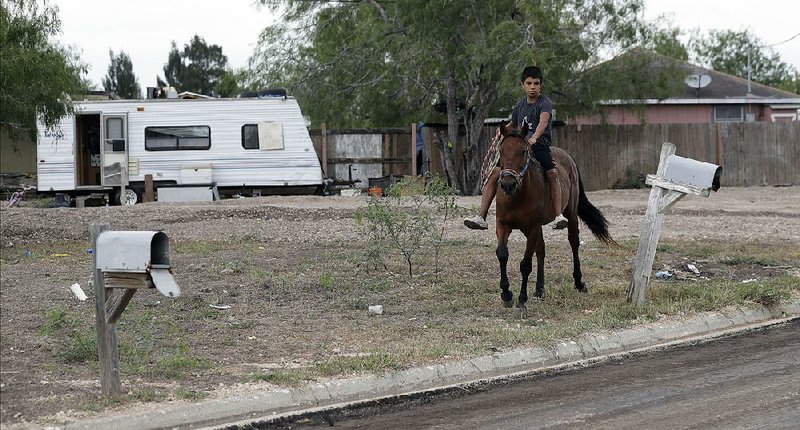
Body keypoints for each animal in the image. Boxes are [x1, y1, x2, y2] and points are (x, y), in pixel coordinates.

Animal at [494, 122, 612, 310]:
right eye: (501, 150)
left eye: (523, 151)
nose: (508, 184)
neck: (517, 196)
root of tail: (568, 157)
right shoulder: (503, 224)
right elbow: (503, 254)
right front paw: (506, 294)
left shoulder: (533, 228)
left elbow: (525, 264)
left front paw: (521, 300)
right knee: (541, 250)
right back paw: (539, 289)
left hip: (571, 214)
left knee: (574, 243)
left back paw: (579, 283)